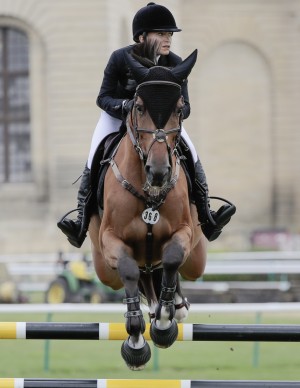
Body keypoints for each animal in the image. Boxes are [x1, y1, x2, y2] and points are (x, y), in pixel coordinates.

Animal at [88, 49, 207, 370]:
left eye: (179, 109)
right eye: (139, 107)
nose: (159, 173)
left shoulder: (184, 232)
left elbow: (172, 258)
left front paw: (165, 322)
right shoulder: (111, 241)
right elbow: (129, 270)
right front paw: (136, 342)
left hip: (197, 259)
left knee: (167, 268)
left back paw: (173, 305)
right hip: (104, 268)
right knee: (139, 272)